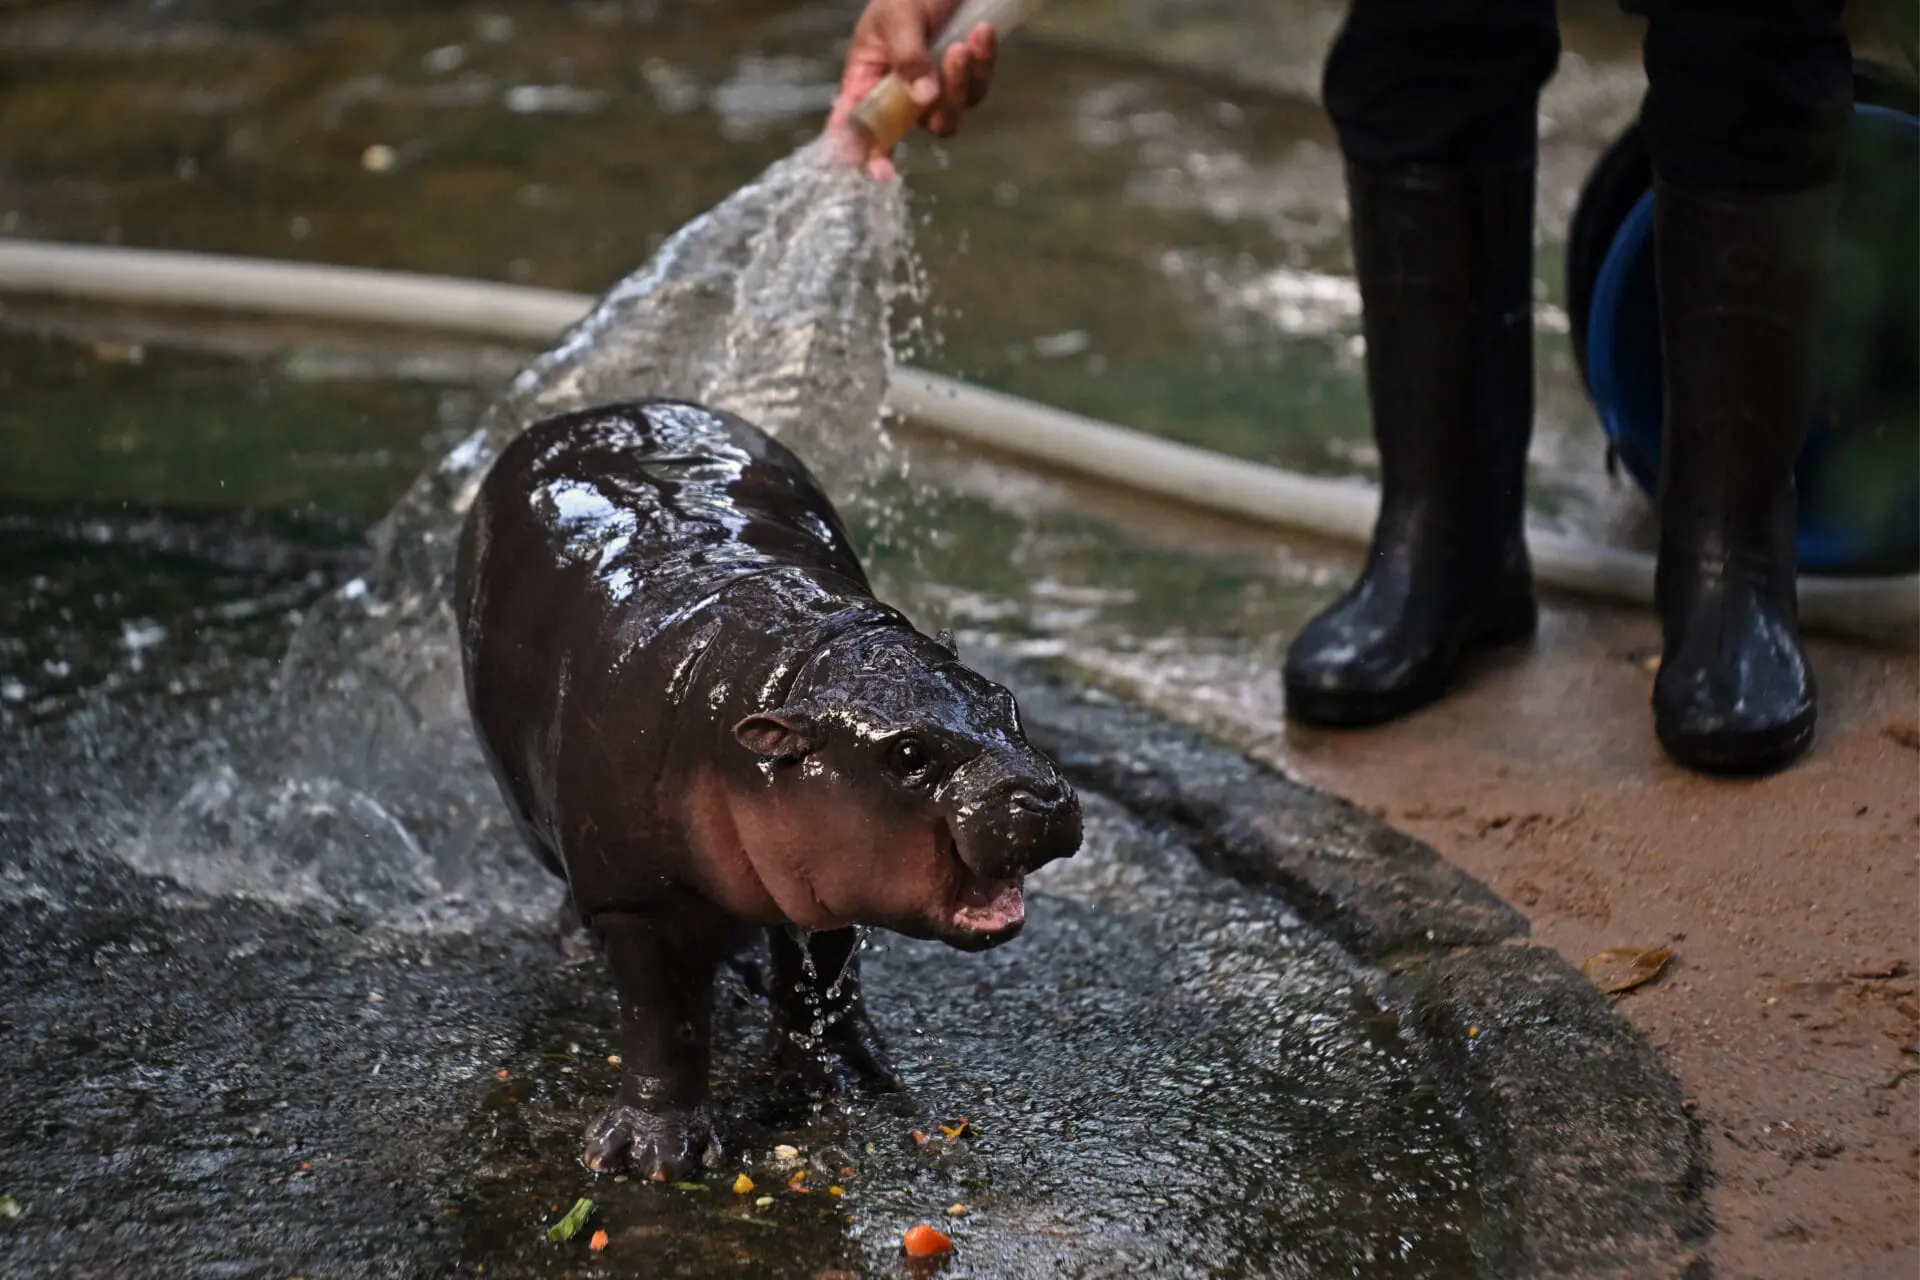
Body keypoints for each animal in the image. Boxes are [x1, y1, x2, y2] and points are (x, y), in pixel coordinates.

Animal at [451, 401, 1082, 1182]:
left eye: (1006, 702)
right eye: (909, 754)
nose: (1043, 797)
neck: (791, 666)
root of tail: (597, 411)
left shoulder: (830, 873)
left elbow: (823, 977)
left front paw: (843, 1080)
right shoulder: (640, 898)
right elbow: (664, 1020)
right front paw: (654, 1158)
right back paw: (578, 945)